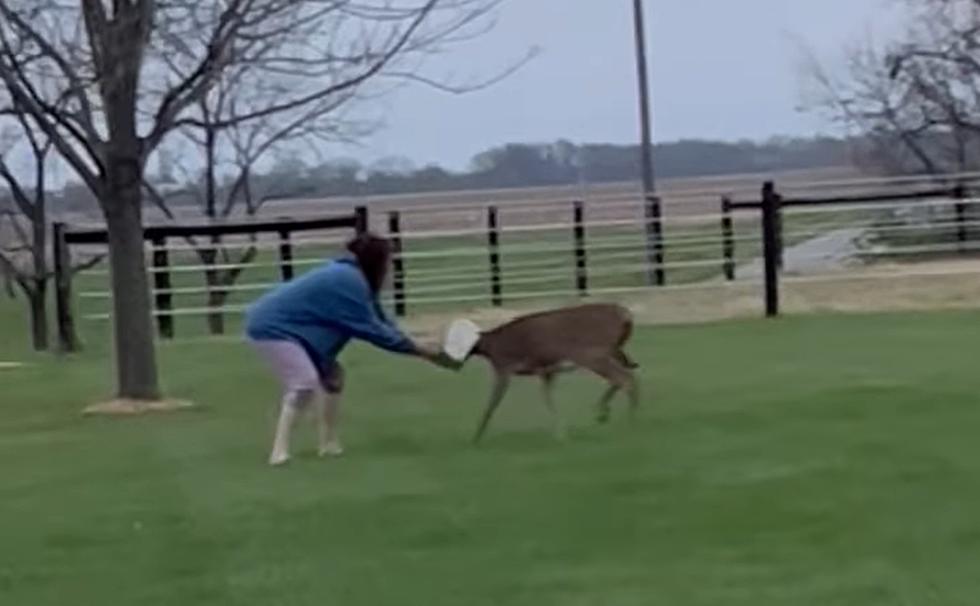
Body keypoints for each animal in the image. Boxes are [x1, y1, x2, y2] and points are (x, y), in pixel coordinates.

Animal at [468, 302, 644, 442]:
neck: (492, 346)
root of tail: (626, 315)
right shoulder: (546, 371)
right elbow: (548, 399)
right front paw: (561, 433)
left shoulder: (505, 368)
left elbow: (492, 403)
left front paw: (476, 437)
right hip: (613, 352)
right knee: (624, 376)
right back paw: (604, 413)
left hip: (593, 356)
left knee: (624, 378)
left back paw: (629, 421)